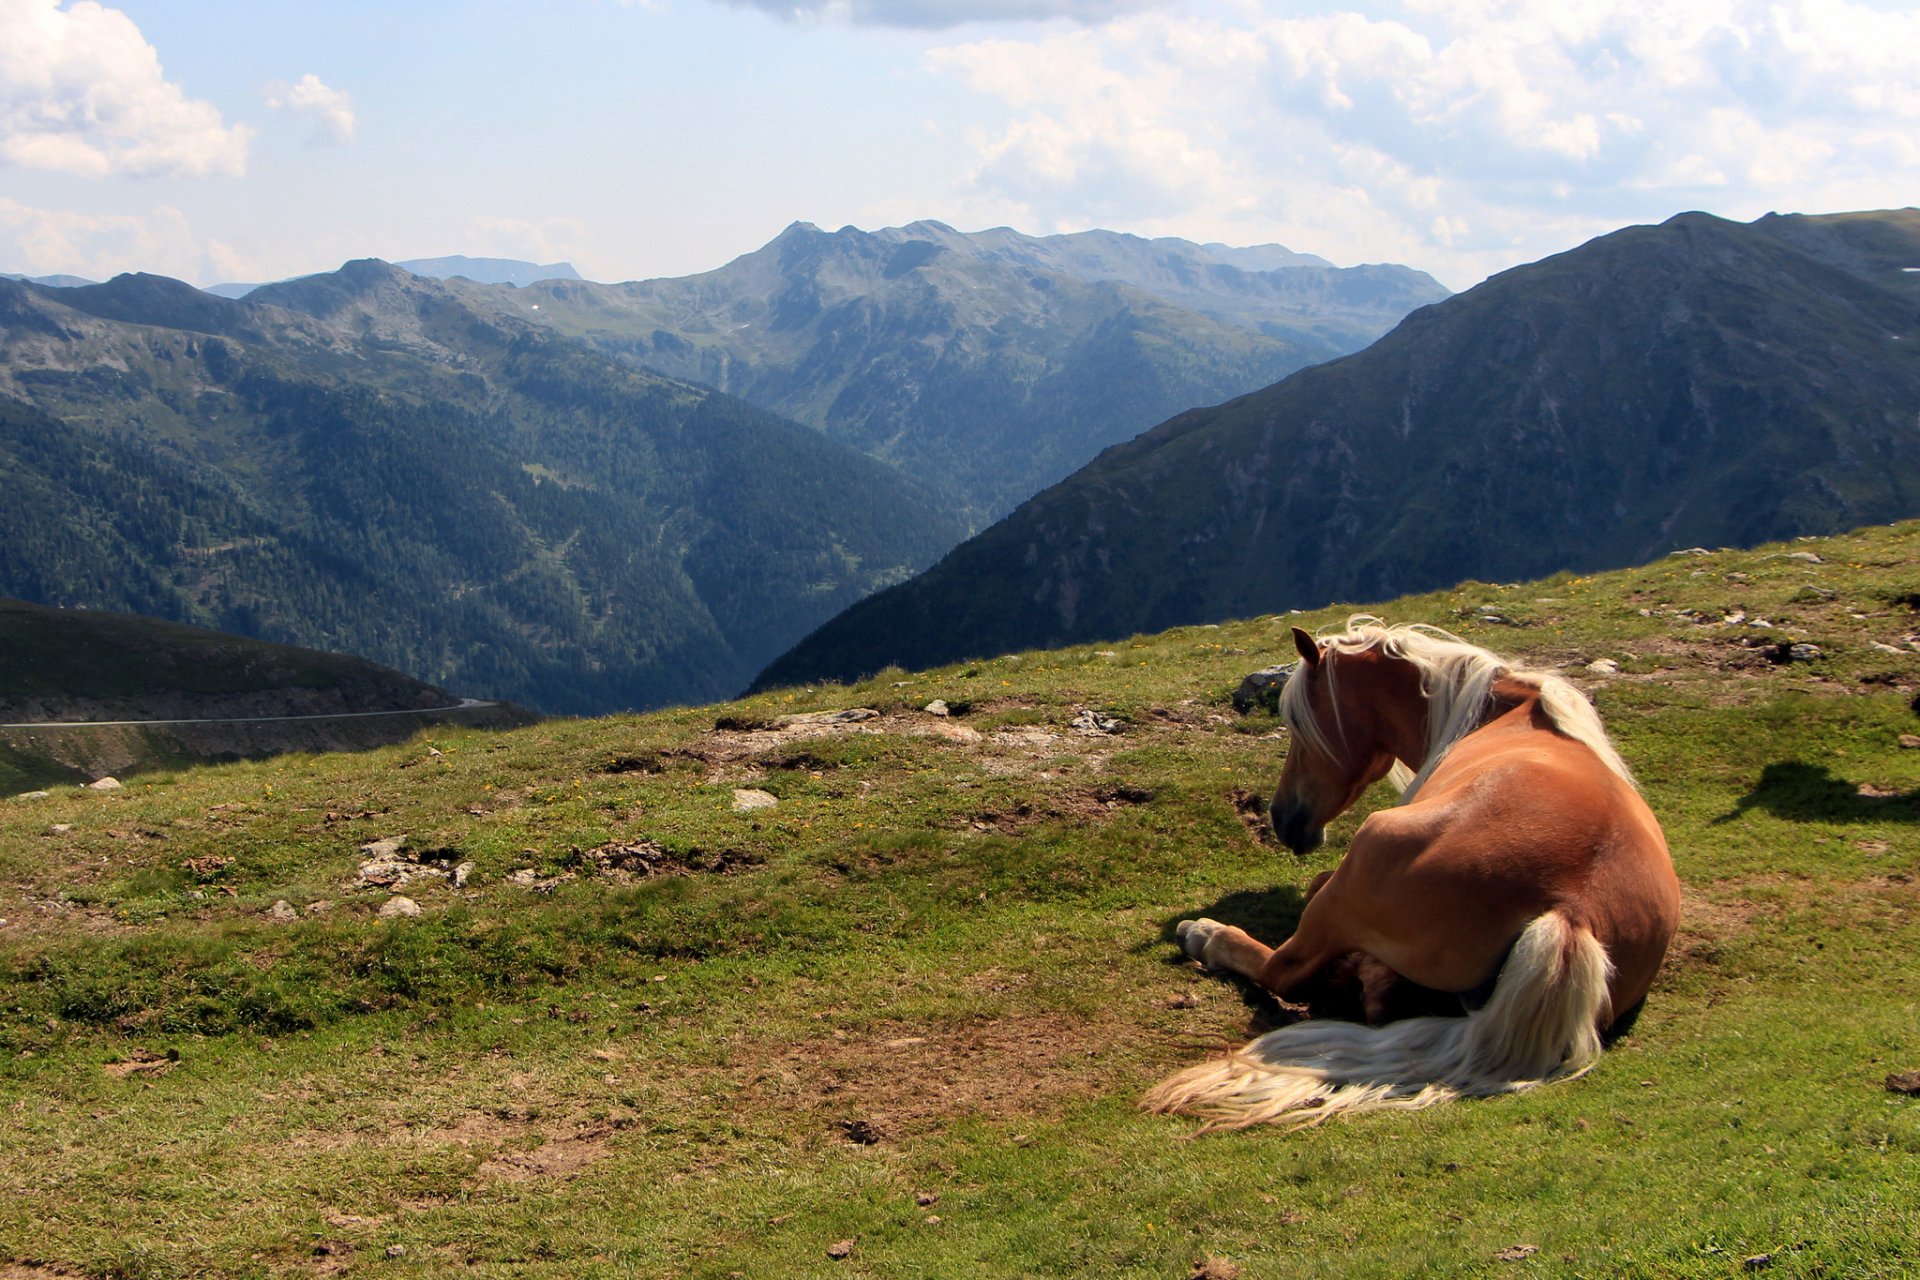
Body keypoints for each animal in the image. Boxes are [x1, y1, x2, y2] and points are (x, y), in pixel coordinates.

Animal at [1143, 619, 1679, 1131]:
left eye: (1297, 723)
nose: (1281, 818)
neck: (1495, 711)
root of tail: (1570, 912)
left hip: (1365, 852)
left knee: (1286, 970)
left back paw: (1206, 936)